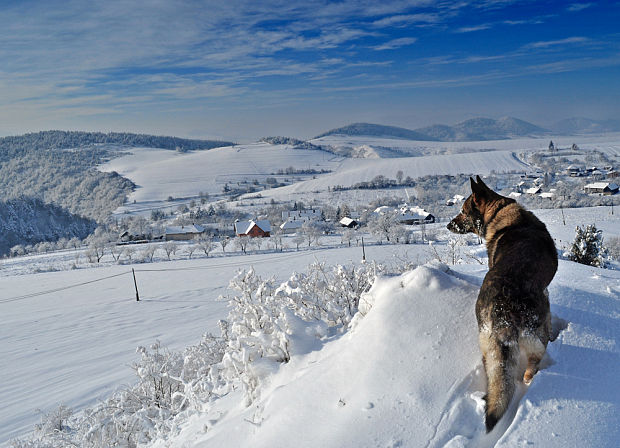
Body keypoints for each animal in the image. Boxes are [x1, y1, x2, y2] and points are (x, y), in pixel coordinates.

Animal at [446, 176, 556, 434]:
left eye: (462, 211)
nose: (448, 225)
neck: (500, 211)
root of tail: (503, 311)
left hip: (491, 346)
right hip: (532, 336)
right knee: (533, 360)